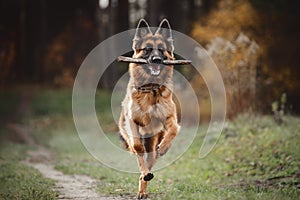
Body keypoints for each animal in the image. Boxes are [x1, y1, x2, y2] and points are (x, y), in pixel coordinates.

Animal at [118, 18, 179, 198]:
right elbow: (138, 147)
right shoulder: (132, 121)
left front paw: (164, 147)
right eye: (147, 49)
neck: (151, 89)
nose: (157, 60)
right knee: (141, 157)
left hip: (153, 140)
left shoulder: (170, 118)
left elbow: (174, 130)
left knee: (151, 158)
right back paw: (144, 178)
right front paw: (144, 170)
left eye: (162, 50)